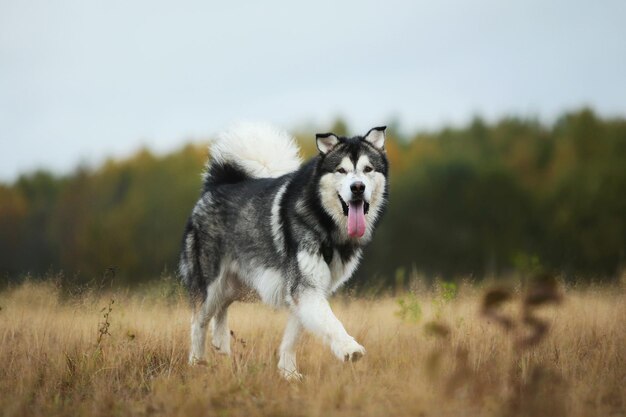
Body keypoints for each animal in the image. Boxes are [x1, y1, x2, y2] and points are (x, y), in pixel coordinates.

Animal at [178, 122, 388, 376]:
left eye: (368, 169)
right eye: (341, 170)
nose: (357, 187)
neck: (323, 221)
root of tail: (218, 185)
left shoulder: (307, 291)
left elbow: (293, 336)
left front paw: (289, 373)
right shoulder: (305, 288)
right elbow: (330, 321)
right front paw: (349, 348)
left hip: (238, 284)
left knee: (221, 308)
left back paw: (221, 344)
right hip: (211, 283)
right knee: (198, 322)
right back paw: (196, 363)